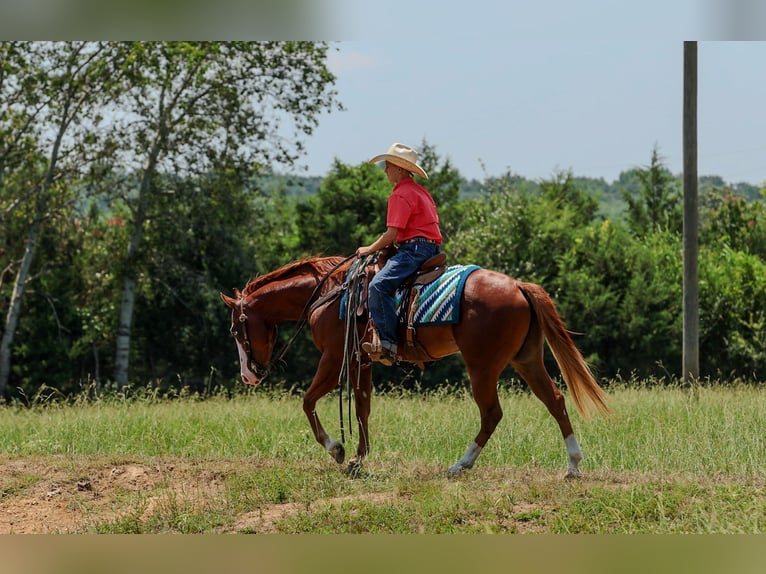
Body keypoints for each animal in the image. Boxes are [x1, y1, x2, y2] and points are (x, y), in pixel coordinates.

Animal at [220, 255, 610, 478]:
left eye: (235, 329)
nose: (248, 376)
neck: (329, 293)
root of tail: (517, 285)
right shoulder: (360, 361)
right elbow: (362, 408)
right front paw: (359, 458)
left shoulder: (333, 358)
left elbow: (308, 401)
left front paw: (337, 450)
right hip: (526, 359)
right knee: (555, 400)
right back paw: (573, 465)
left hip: (482, 366)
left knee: (492, 413)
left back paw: (461, 465)